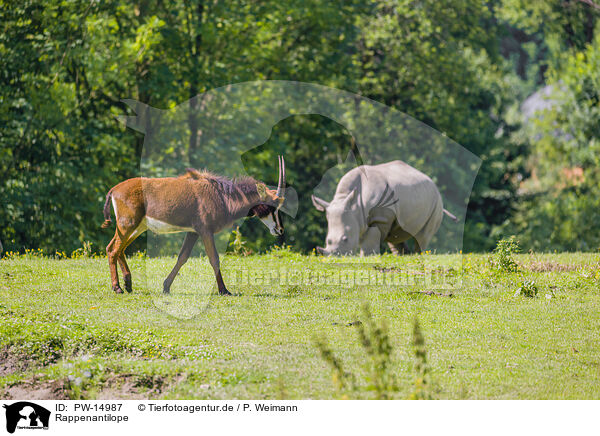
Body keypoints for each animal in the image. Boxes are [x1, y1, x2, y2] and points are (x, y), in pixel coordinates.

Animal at [102, 155, 288, 294]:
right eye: (273, 206)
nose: (280, 230)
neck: (222, 196)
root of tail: (114, 190)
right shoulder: (206, 231)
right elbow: (214, 259)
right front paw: (224, 290)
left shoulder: (193, 232)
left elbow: (182, 257)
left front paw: (166, 287)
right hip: (128, 225)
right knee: (112, 249)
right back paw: (117, 287)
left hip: (137, 227)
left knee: (120, 249)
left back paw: (128, 284)